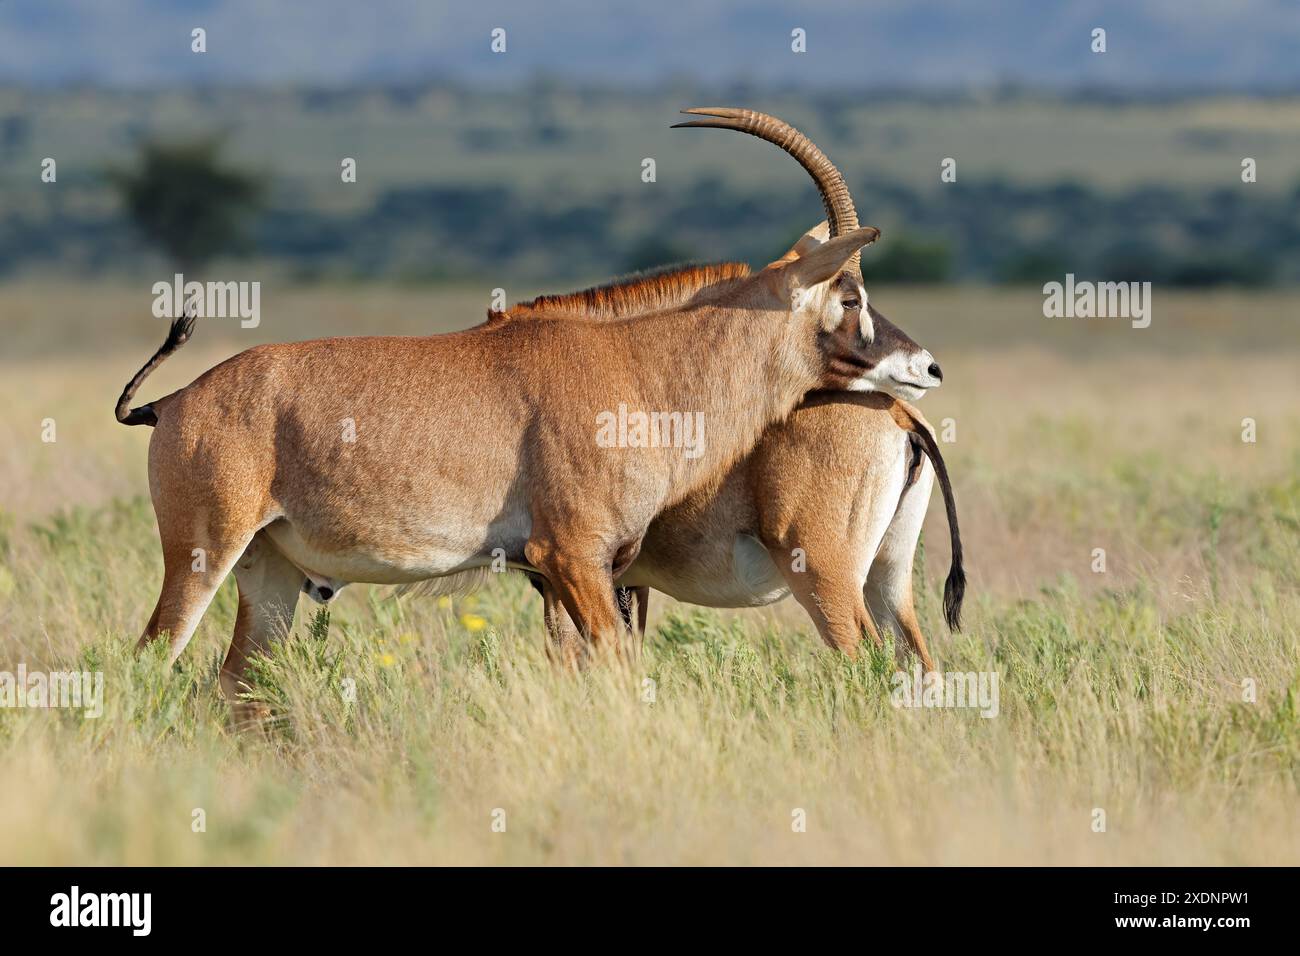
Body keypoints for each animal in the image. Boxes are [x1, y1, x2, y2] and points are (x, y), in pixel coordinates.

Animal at [114, 107, 942, 718]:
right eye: (850, 295)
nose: (926, 368)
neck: (640, 364)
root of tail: (176, 402)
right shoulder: (570, 558)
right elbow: (613, 675)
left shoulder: (590, 571)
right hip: (203, 552)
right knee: (151, 658)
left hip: (271, 573)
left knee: (233, 685)